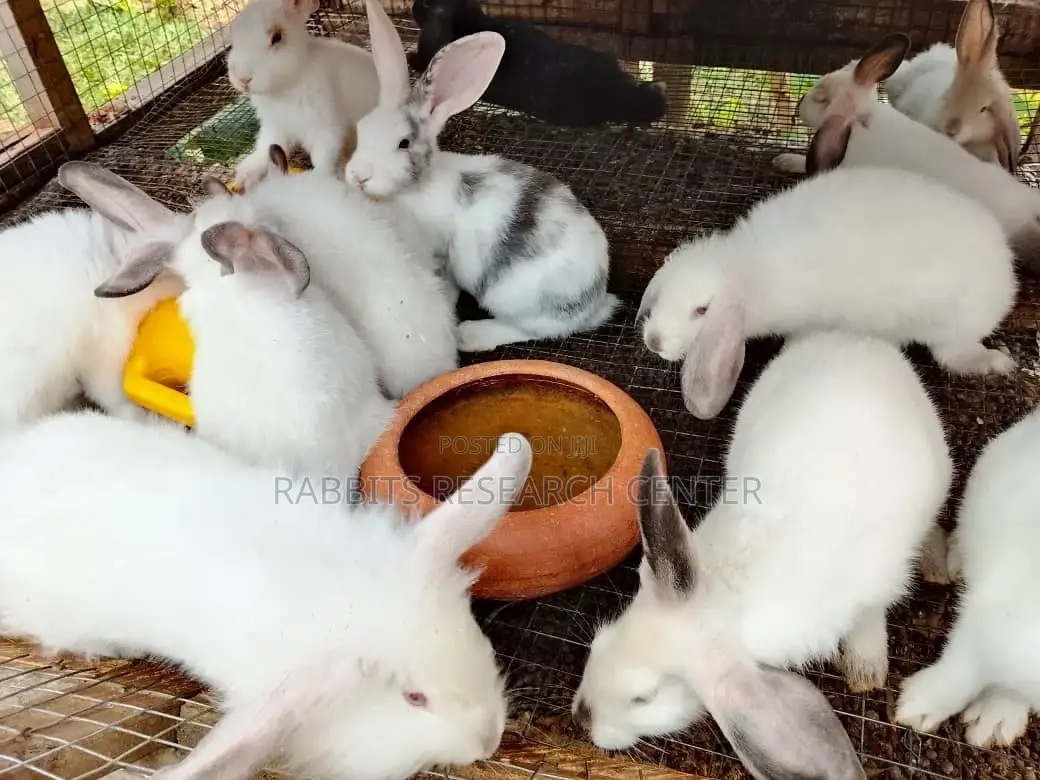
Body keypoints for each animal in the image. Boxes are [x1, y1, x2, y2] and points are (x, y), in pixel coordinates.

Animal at [226, 0, 379, 190]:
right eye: (233, 37)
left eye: (276, 37)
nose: (243, 79)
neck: (286, 85)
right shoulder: (275, 127)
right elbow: (264, 148)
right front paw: (243, 176)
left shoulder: (324, 127)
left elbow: (322, 158)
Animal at [344, 0, 619, 353]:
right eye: (361, 129)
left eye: (403, 143)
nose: (358, 176)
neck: (416, 188)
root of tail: (596, 300)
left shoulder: (441, 254)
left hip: (510, 297)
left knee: (542, 328)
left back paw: (474, 335)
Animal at [570, 329, 953, 780]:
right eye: (598, 643)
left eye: (644, 698)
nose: (581, 717)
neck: (730, 591)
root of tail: (855, 337)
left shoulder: (875, 588)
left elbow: (869, 620)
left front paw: (866, 668)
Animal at [637, 163, 1017, 420]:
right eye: (662, 296)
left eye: (701, 310)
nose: (653, 341)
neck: (751, 274)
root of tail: (1005, 270)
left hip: (952, 327)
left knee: (954, 355)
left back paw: (995, 362)